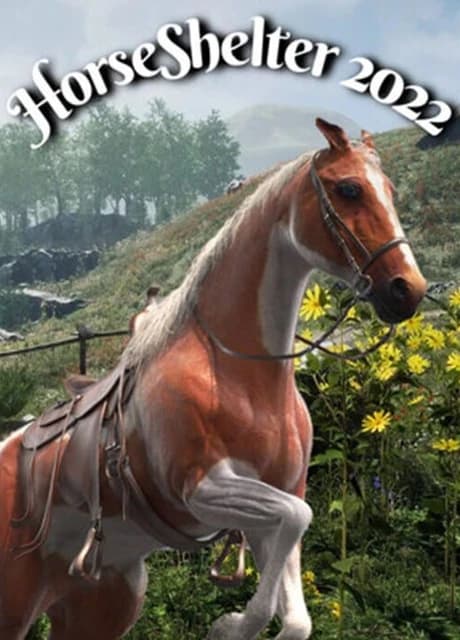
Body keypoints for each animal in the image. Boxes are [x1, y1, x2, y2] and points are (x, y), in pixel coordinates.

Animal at [0, 118, 427, 640]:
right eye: (348, 188)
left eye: (390, 191)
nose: (407, 289)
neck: (242, 376)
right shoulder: (201, 490)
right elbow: (297, 519)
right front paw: (232, 623)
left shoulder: (277, 502)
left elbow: (296, 608)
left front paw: (240, 622)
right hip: (14, 605)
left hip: (100, 607)